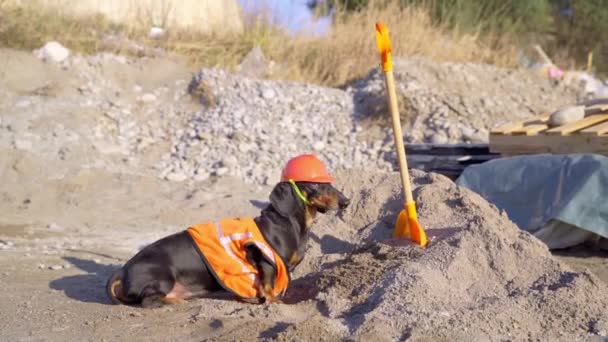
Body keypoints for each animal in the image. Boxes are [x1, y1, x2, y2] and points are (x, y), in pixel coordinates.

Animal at [107, 179, 350, 308]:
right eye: (315, 184)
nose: (346, 202)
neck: (288, 222)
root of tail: (123, 270)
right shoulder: (266, 260)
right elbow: (268, 285)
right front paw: (272, 301)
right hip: (164, 278)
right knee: (149, 301)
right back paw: (174, 301)